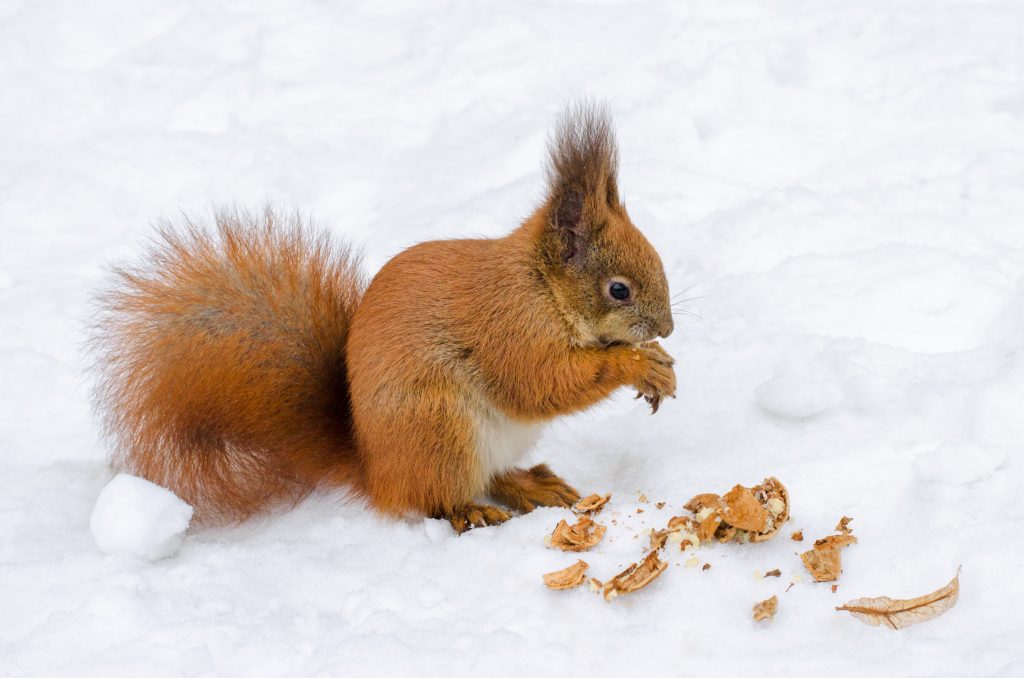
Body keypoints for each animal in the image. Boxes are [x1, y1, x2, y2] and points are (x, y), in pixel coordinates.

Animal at [92, 106, 675, 532]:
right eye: (618, 290)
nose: (666, 329)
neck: (542, 289)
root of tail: (376, 471)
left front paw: (658, 362)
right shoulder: (510, 331)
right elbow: (541, 383)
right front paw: (636, 364)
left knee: (487, 476)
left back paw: (530, 485)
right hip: (439, 427)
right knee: (437, 499)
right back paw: (472, 511)